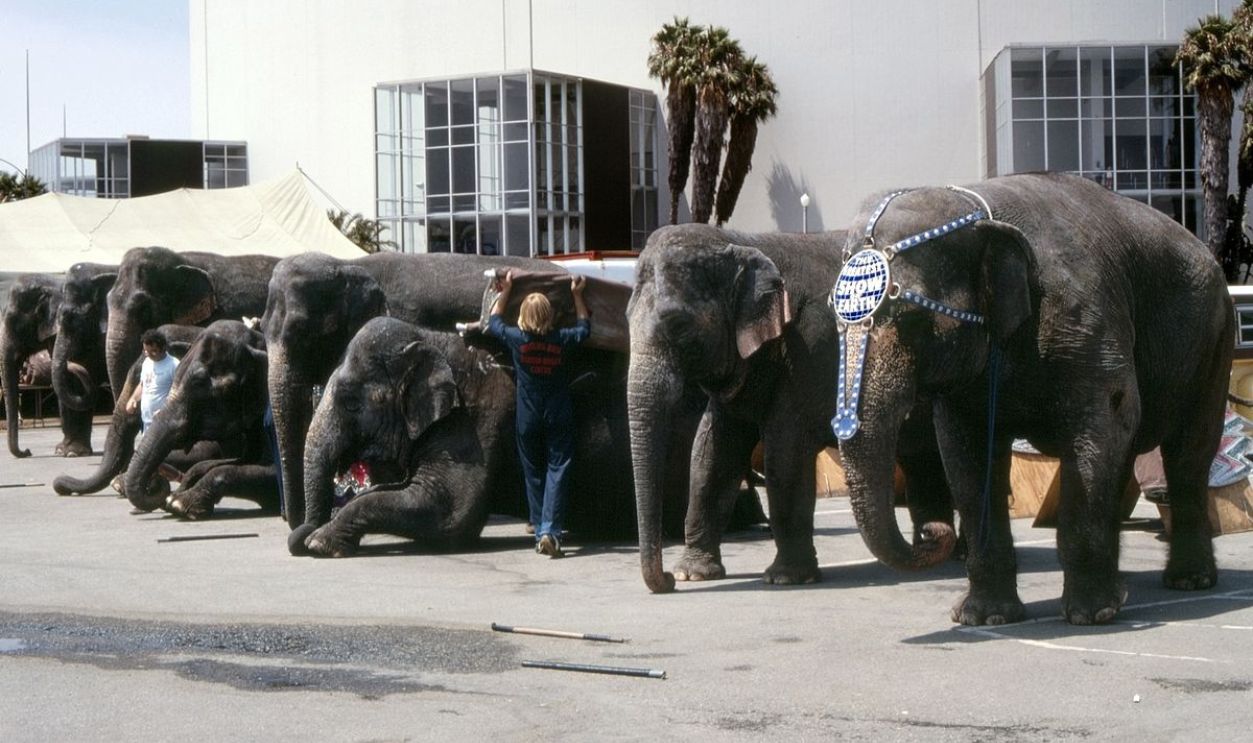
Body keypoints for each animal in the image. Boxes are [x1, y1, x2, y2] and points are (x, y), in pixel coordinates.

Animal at [627, 227, 957, 594]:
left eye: (679, 325)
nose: (667, 583)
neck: (742, 242)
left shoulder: (810, 350)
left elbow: (785, 453)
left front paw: (786, 578)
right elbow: (710, 455)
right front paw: (694, 573)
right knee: (923, 458)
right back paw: (934, 549)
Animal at [832, 173, 1232, 626]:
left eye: (912, 319)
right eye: (834, 317)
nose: (933, 532)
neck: (982, 208)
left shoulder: (1087, 322)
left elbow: (1103, 422)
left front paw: (1089, 617)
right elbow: (966, 453)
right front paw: (983, 618)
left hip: (1214, 338)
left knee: (1188, 451)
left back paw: (1187, 581)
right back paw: (1123, 590)